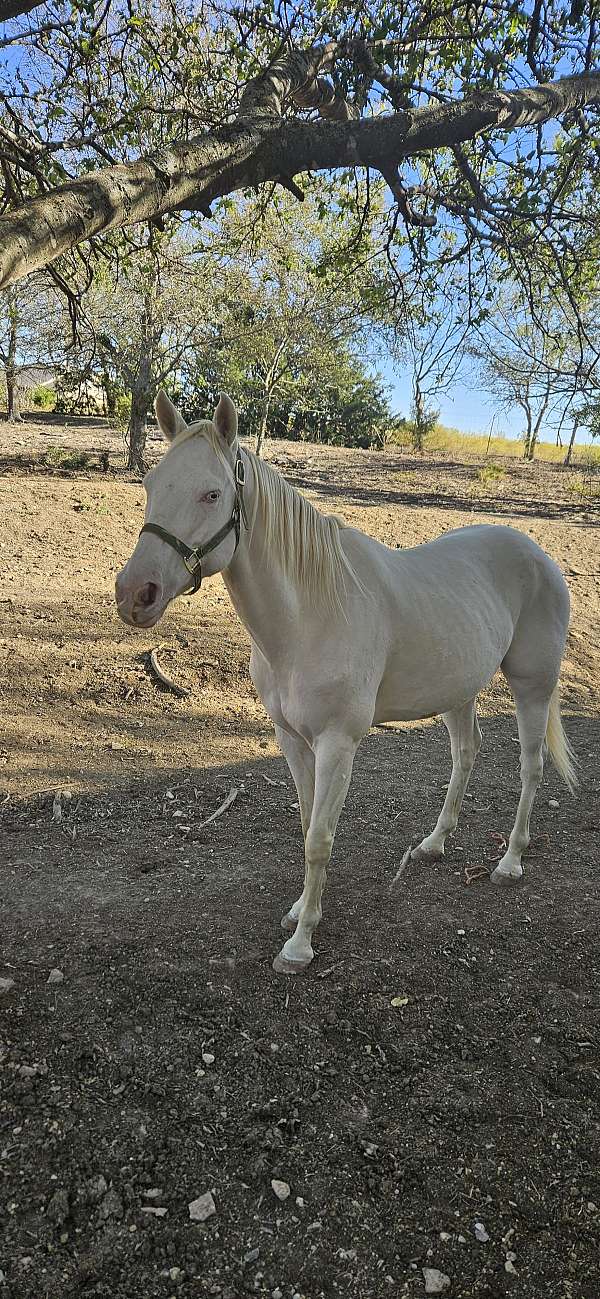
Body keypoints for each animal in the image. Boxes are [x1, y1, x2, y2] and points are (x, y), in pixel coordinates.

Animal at [116, 392, 576, 976]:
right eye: (151, 484)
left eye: (211, 493)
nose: (135, 594)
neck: (309, 614)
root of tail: (539, 555)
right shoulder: (291, 739)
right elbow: (305, 821)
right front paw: (298, 911)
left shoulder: (338, 744)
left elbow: (319, 837)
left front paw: (300, 945)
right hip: (457, 689)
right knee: (466, 754)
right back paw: (433, 843)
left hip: (532, 685)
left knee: (531, 767)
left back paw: (511, 860)